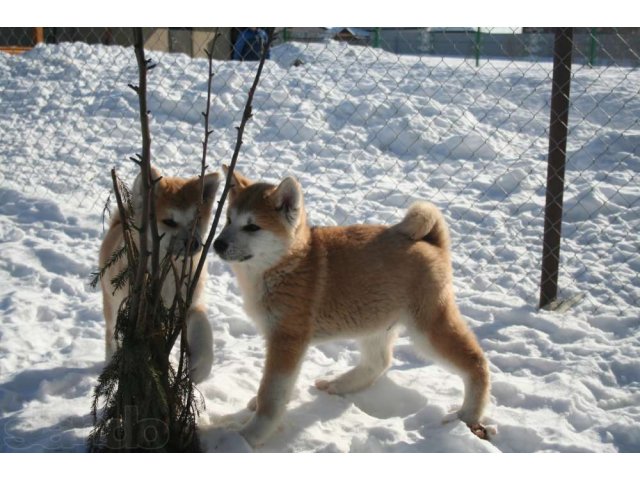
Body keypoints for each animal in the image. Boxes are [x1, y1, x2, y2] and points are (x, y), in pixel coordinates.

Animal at [99, 167, 220, 384]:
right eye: (169, 222)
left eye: (197, 219)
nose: (195, 244)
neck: (172, 271)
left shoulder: (190, 303)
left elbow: (203, 325)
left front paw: (201, 367)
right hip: (112, 303)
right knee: (111, 334)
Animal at [215, 168, 490, 446]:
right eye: (227, 219)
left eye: (252, 226)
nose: (216, 245)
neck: (286, 264)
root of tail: (432, 243)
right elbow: (277, 390)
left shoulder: (286, 340)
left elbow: (270, 396)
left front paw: (248, 436)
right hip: (374, 323)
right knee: (378, 362)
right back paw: (337, 385)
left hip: (428, 329)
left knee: (475, 362)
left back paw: (468, 415)